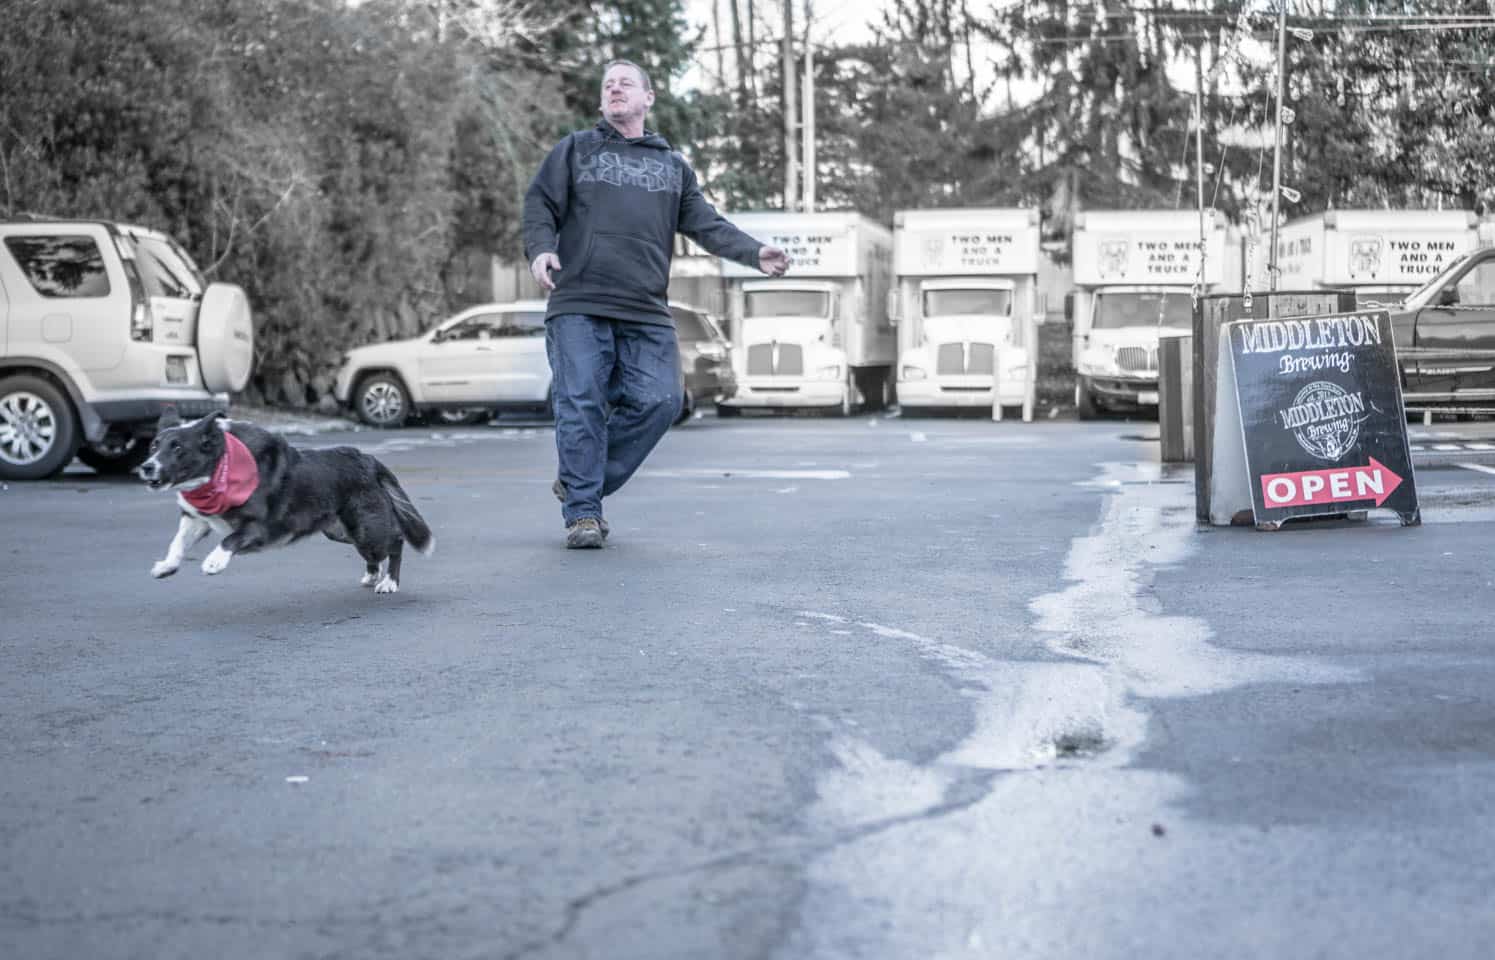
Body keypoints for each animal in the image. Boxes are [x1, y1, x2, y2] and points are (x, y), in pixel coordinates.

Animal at [134, 409, 433, 592]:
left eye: (178, 448)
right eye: (154, 445)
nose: (146, 467)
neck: (221, 466)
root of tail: (368, 459)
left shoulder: (259, 527)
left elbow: (229, 539)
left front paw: (214, 562)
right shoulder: (197, 520)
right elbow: (178, 543)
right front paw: (166, 566)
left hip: (366, 526)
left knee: (395, 541)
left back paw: (390, 582)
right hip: (340, 530)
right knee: (374, 553)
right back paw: (373, 574)